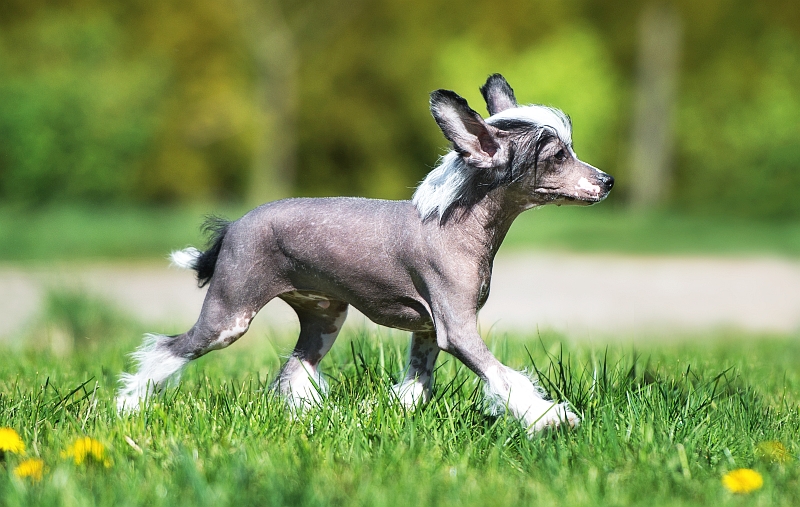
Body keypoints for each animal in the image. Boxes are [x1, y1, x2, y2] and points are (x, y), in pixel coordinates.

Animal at [119, 73, 616, 434]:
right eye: (556, 156)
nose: (608, 181)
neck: (457, 224)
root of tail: (234, 227)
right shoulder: (456, 331)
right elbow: (504, 376)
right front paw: (550, 417)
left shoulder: (427, 332)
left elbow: (417, 384)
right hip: (229, 316)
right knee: (167, 350)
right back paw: (128, 406)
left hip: (325, 317)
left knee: (295, 373)